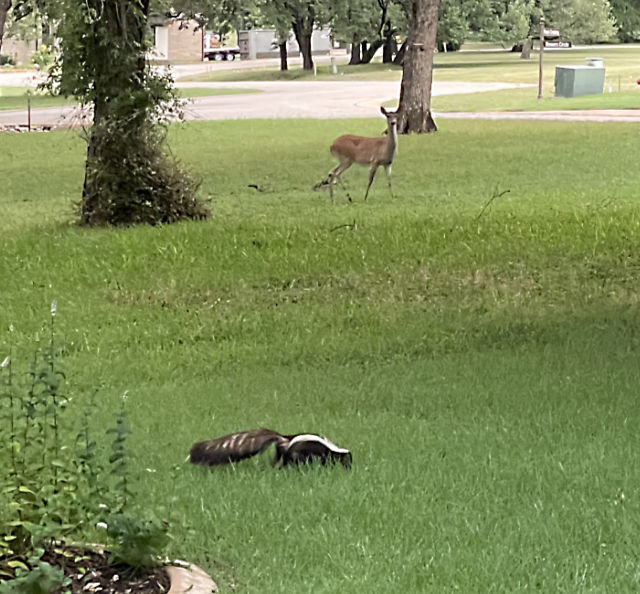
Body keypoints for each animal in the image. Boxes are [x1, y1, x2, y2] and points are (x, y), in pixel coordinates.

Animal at [188, 426, 352, 468]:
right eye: (348, 460)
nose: (350, 468)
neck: (333, 448)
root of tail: (284, 439)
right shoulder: (321, 452)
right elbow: (324, 460)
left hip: (283, 452)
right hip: (294, 453)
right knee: (292, 461)